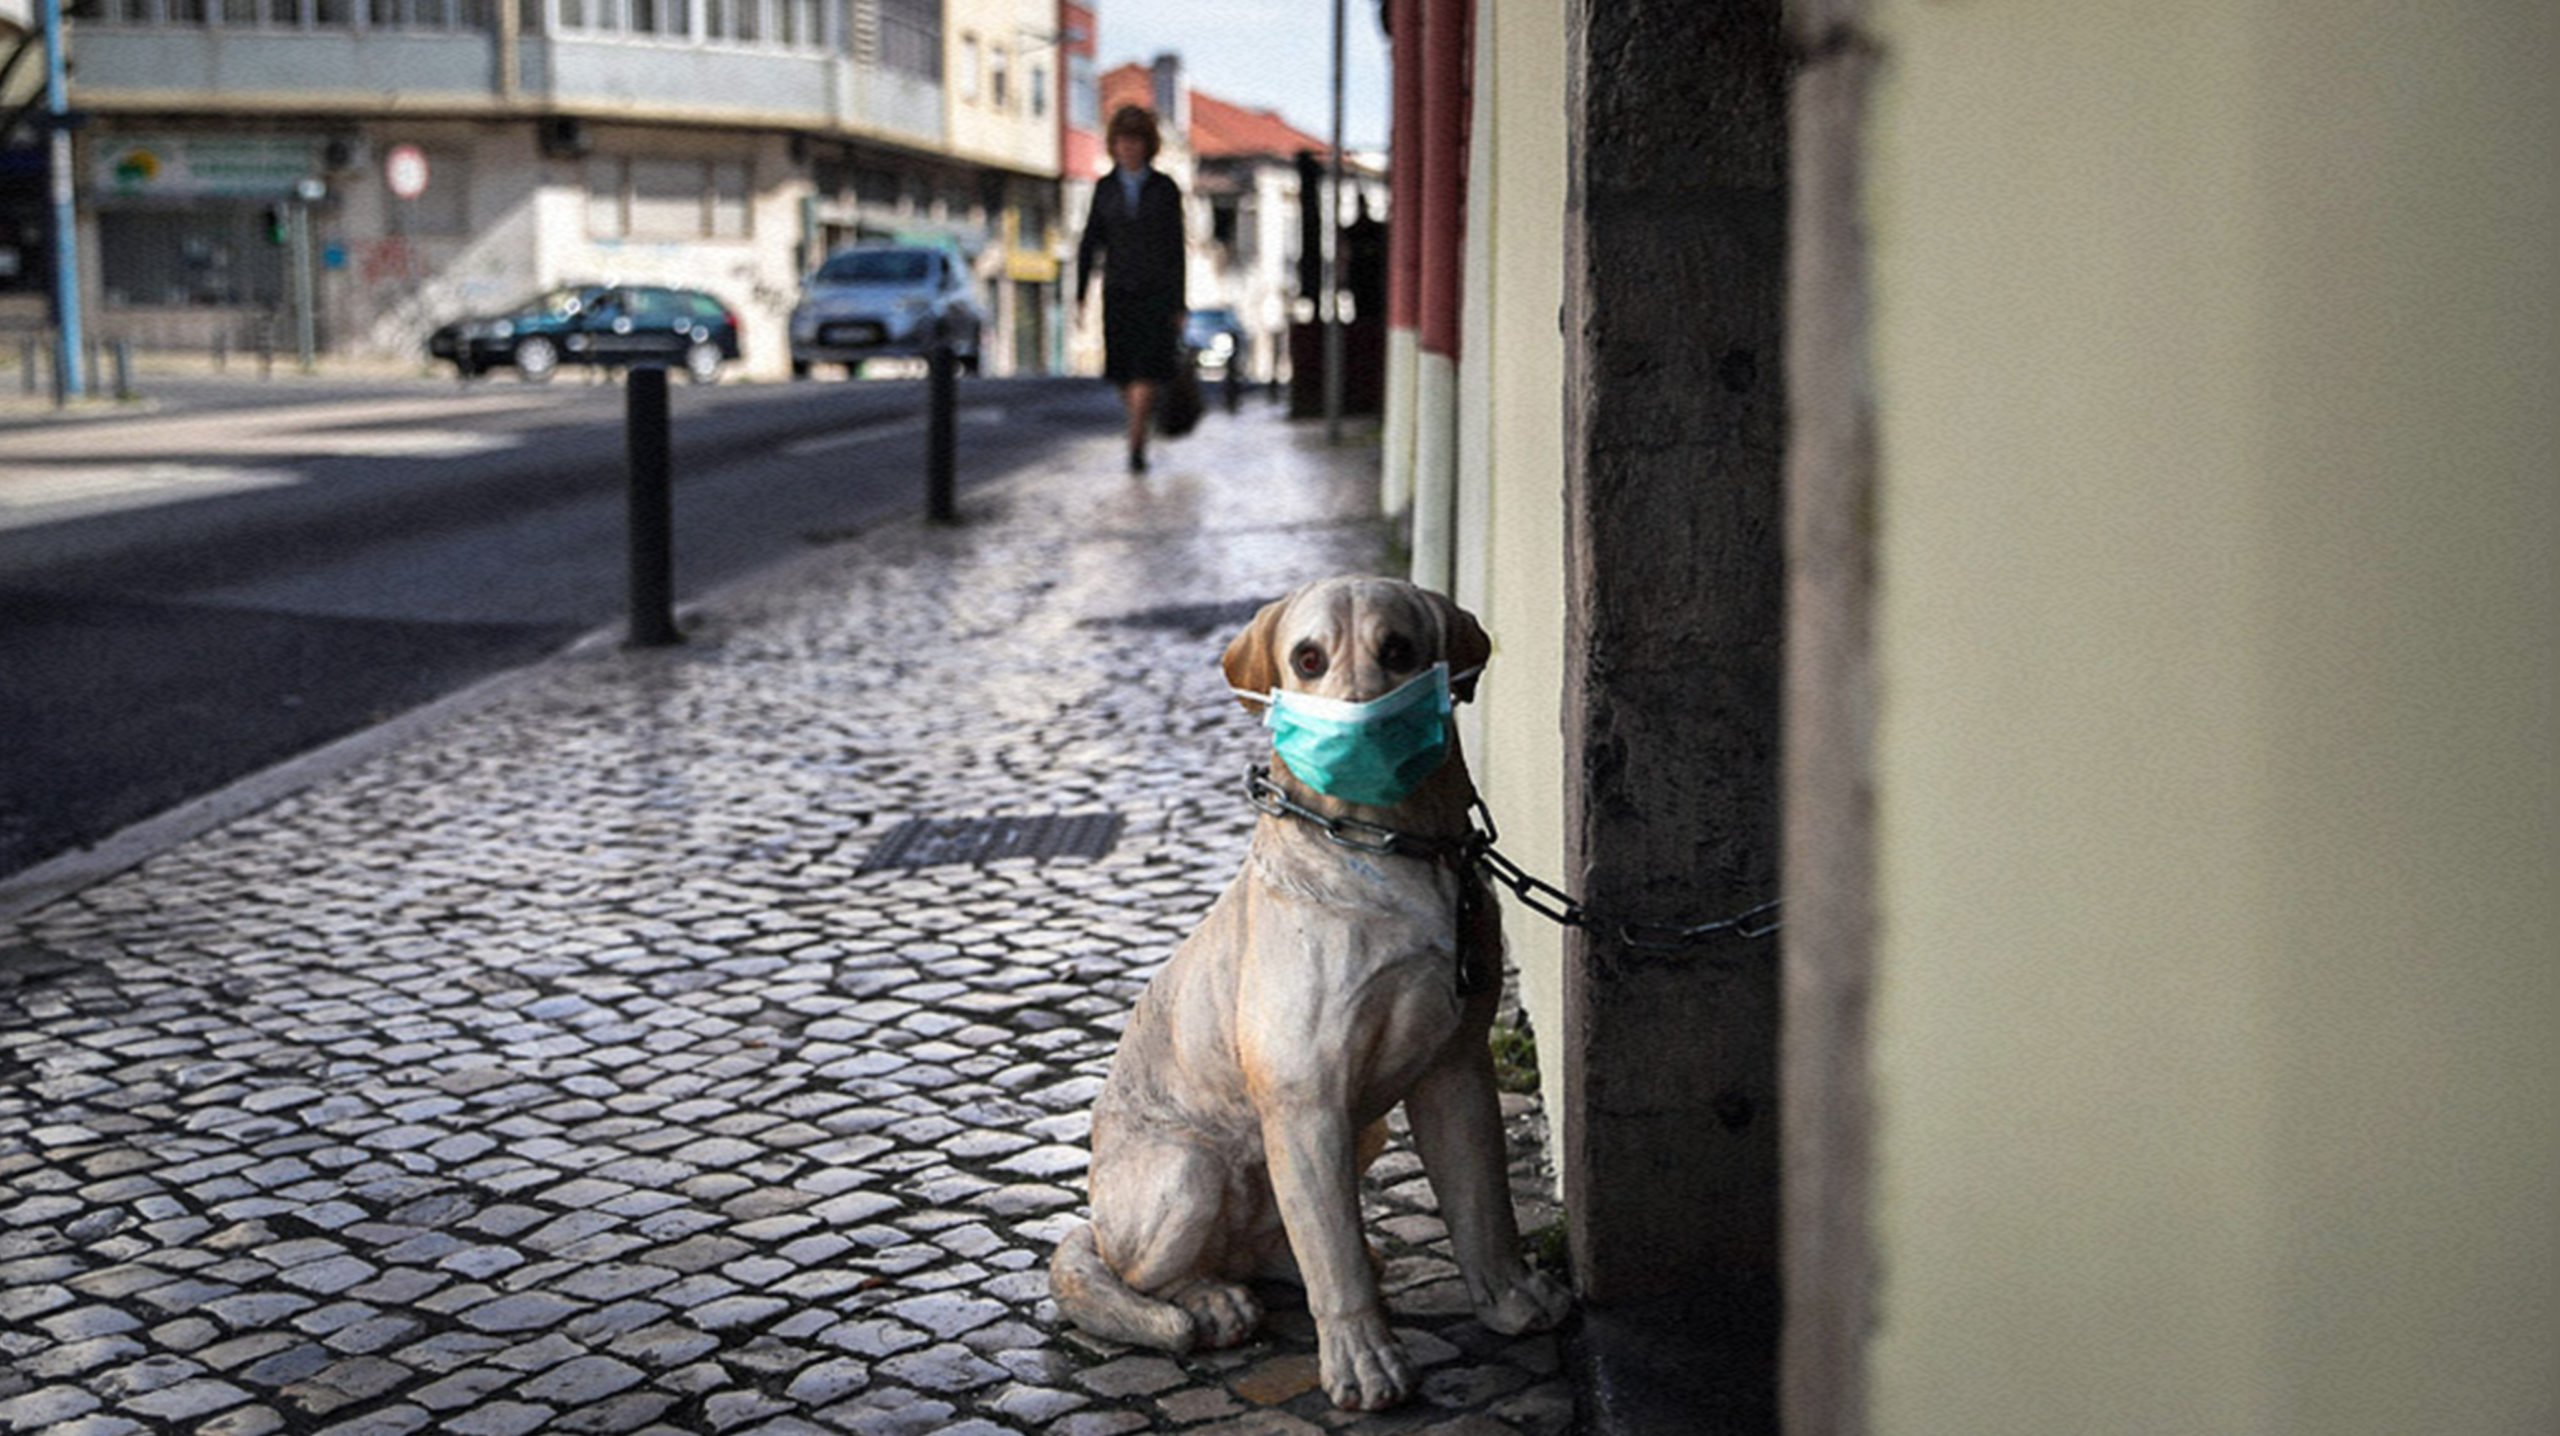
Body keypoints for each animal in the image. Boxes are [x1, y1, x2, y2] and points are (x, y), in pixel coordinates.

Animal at [1049, 573, 1566, 1412]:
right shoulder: (1306, 1096)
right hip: (1188, 1172)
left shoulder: (1457, 1068)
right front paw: (1364, 1361)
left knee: (1281, 1242)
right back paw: (1209, 1302)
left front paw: (1512, 1301)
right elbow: (1336, 1258)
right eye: (1309, 658)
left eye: (1399, 650)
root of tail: (1096, 1221)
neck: (1397, 852)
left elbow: (1482, 1208)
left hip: (1364, 1134)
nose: (1358, 731)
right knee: (1149, 1274)